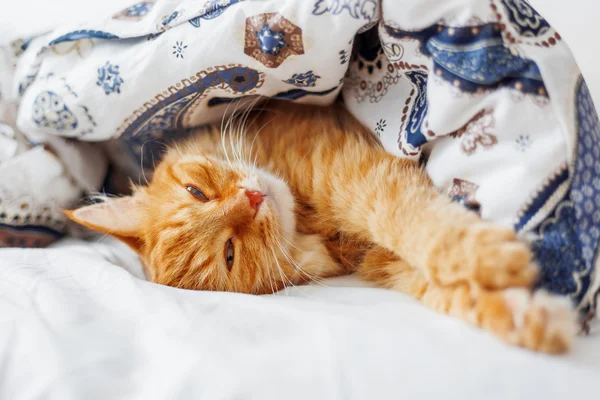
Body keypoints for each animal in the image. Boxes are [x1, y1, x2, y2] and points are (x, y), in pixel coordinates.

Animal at [65, 100, 576, 354]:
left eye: (197, 192)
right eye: (230, 253)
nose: (252, 200)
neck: (314, 225)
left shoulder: (362, 178)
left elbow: (412, 223)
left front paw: (488, 255)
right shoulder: (383, 261)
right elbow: (444, 287)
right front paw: (529, 313)